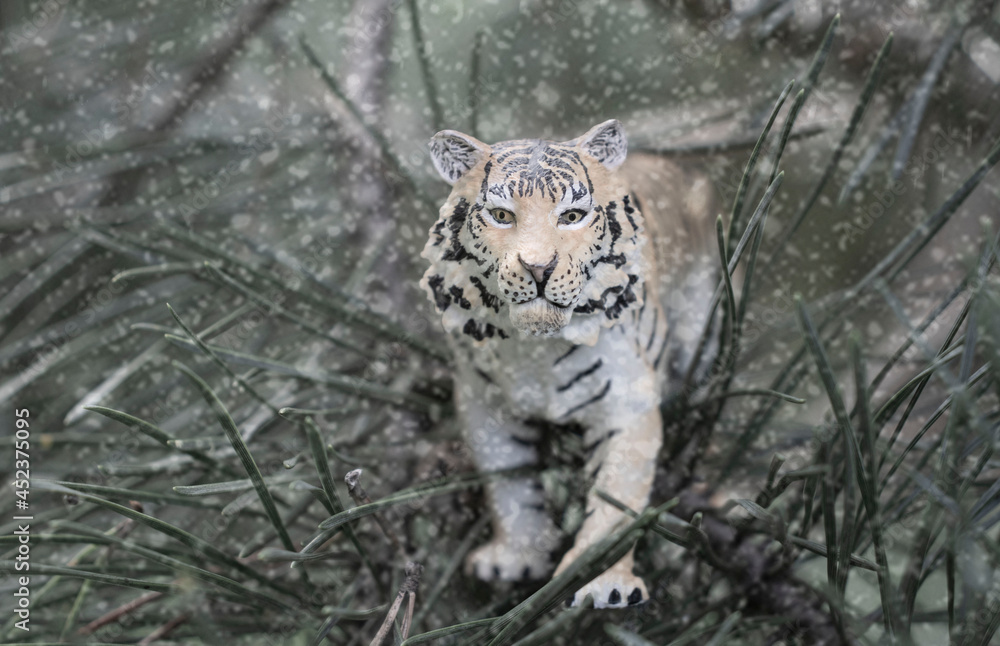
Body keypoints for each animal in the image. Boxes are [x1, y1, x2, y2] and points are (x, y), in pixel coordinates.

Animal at [419, 120, 717, 608]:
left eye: (572, 216)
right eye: (502, 215)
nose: (539, 268)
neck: (535, 349)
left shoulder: (627, 407)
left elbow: (617, 500)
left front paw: (601, 583)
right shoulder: (483, 404)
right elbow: (510, 487)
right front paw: (515, 556)